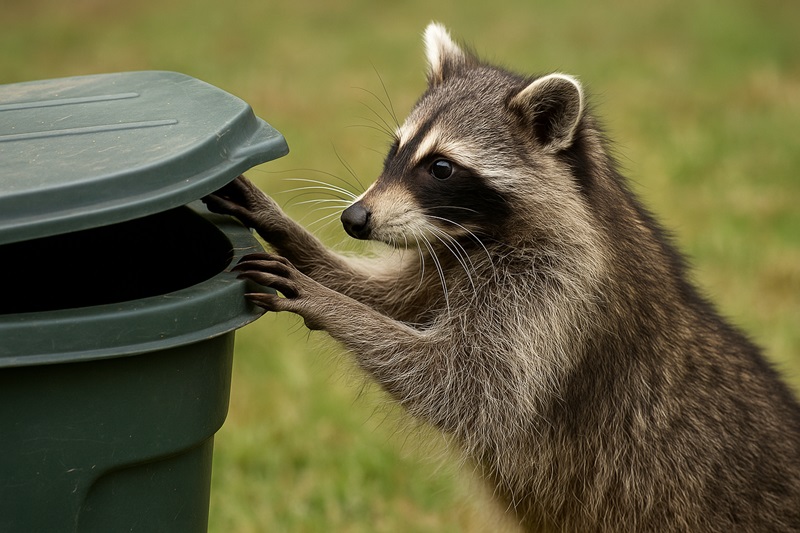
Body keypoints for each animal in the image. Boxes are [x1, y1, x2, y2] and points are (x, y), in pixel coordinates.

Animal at [205, 23, 800, 532]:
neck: (481, 233)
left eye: (441, 167)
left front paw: (324, 300)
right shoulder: (452, 257)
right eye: (395, 149)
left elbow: (462, 384)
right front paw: (294, 237)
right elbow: (393, 298)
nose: (355, 219)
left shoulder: (557, 292)